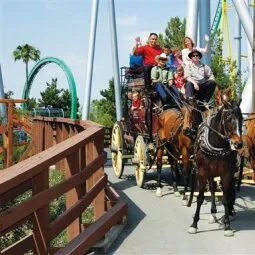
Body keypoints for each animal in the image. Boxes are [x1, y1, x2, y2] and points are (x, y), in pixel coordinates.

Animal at [188, 100, 242, 237]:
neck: (217, 145)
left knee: (214, 189)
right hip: (209, 173)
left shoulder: (226, 174)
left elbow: (226, 199)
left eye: (242, 118)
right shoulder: (202, 173)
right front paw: (194, 224)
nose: (239, 144)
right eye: (228, 117)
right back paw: (212, 214)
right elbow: (200, 198)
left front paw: (227, 225)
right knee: (212, 189)